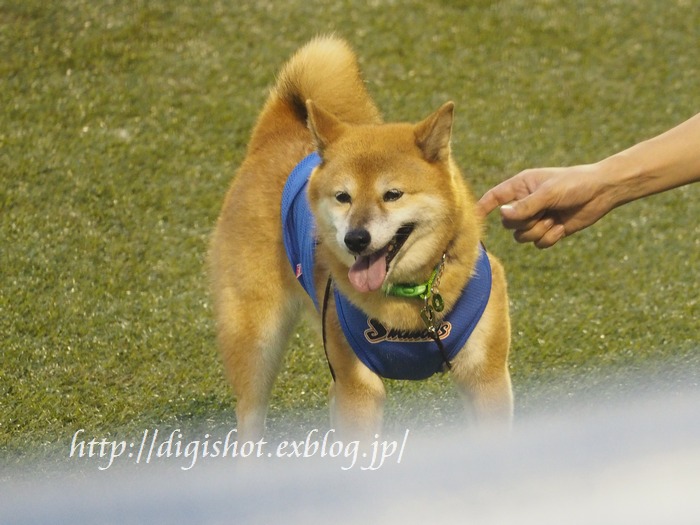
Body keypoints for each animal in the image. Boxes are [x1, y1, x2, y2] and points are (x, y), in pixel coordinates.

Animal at [211, 36, 512, 438]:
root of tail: (272, 137)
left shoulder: (486, 377)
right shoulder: (357, 386)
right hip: (256, 340)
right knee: (249, 415)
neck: (409, 302)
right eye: (343, 197)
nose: (355, 239)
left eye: (393, 194)